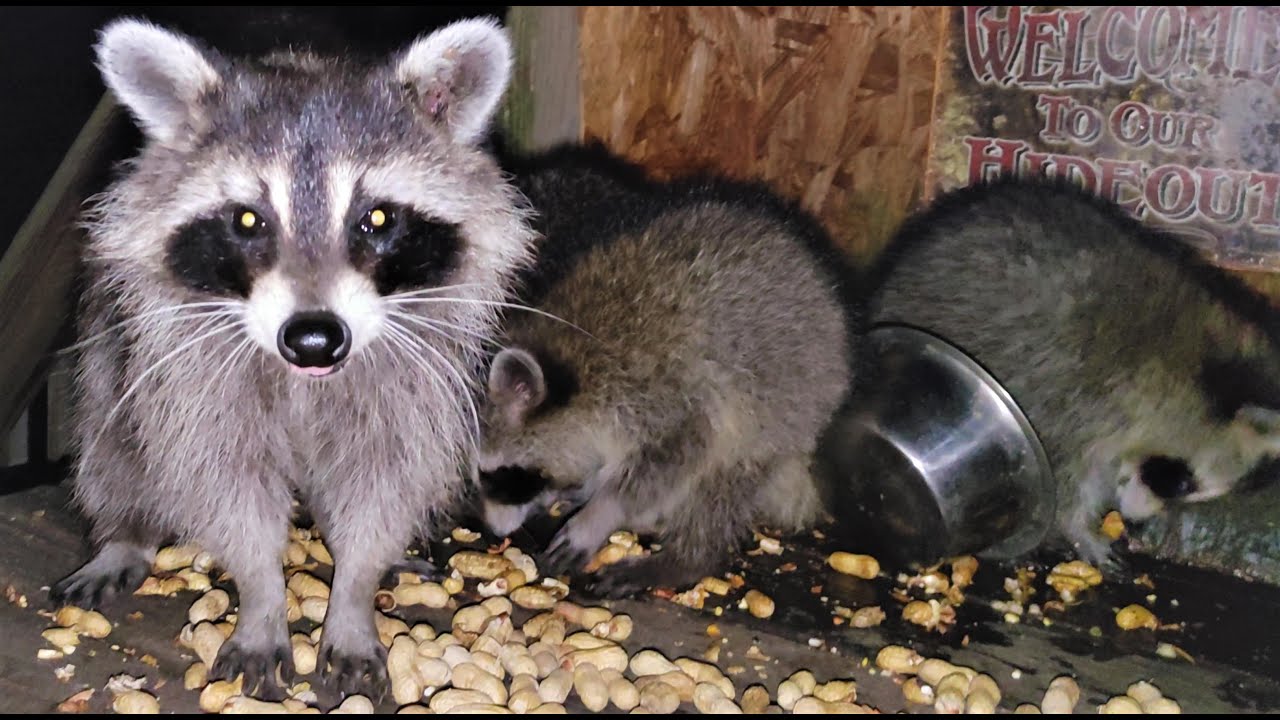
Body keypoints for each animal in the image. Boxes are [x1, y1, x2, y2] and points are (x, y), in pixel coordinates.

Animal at [51, 18, 533, 696]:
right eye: (248, 220)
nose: (313, 338)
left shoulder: (410, 369)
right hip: (113, 348)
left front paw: (354, 591)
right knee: (113, 441)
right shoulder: (190, 367)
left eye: (377, 218)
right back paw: (125, 533)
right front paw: (261, 598)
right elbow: (225, 482)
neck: (307, 376)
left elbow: (384, 477)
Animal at [475, 147, 859, 596]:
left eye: (503, 476)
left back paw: (684, 559)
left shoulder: (662, 394)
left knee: (724, 479)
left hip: (785, 408)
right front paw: (581, 490)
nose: (494, 530)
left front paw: (602, 511)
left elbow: (671, 460)